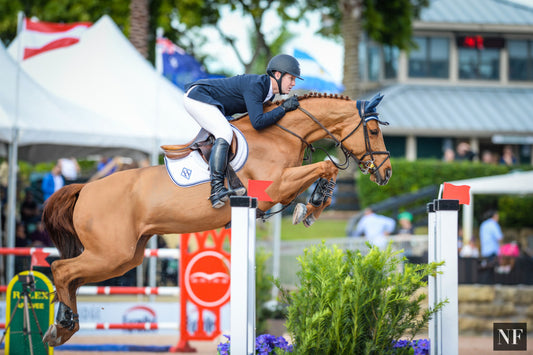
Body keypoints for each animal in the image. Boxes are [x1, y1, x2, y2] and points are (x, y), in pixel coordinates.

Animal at [41, 92, 390, 348]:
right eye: (373, 131)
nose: (385, 173)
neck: (281, 134)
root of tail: (84, 188)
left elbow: (324, 171)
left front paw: (312, 206)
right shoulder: (274, 187)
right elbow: (327, 166)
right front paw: (313, 205)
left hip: (125, 257)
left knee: (71, 277)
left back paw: (62, 327)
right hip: (112, 253)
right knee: (61, 269)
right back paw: (63, 326)